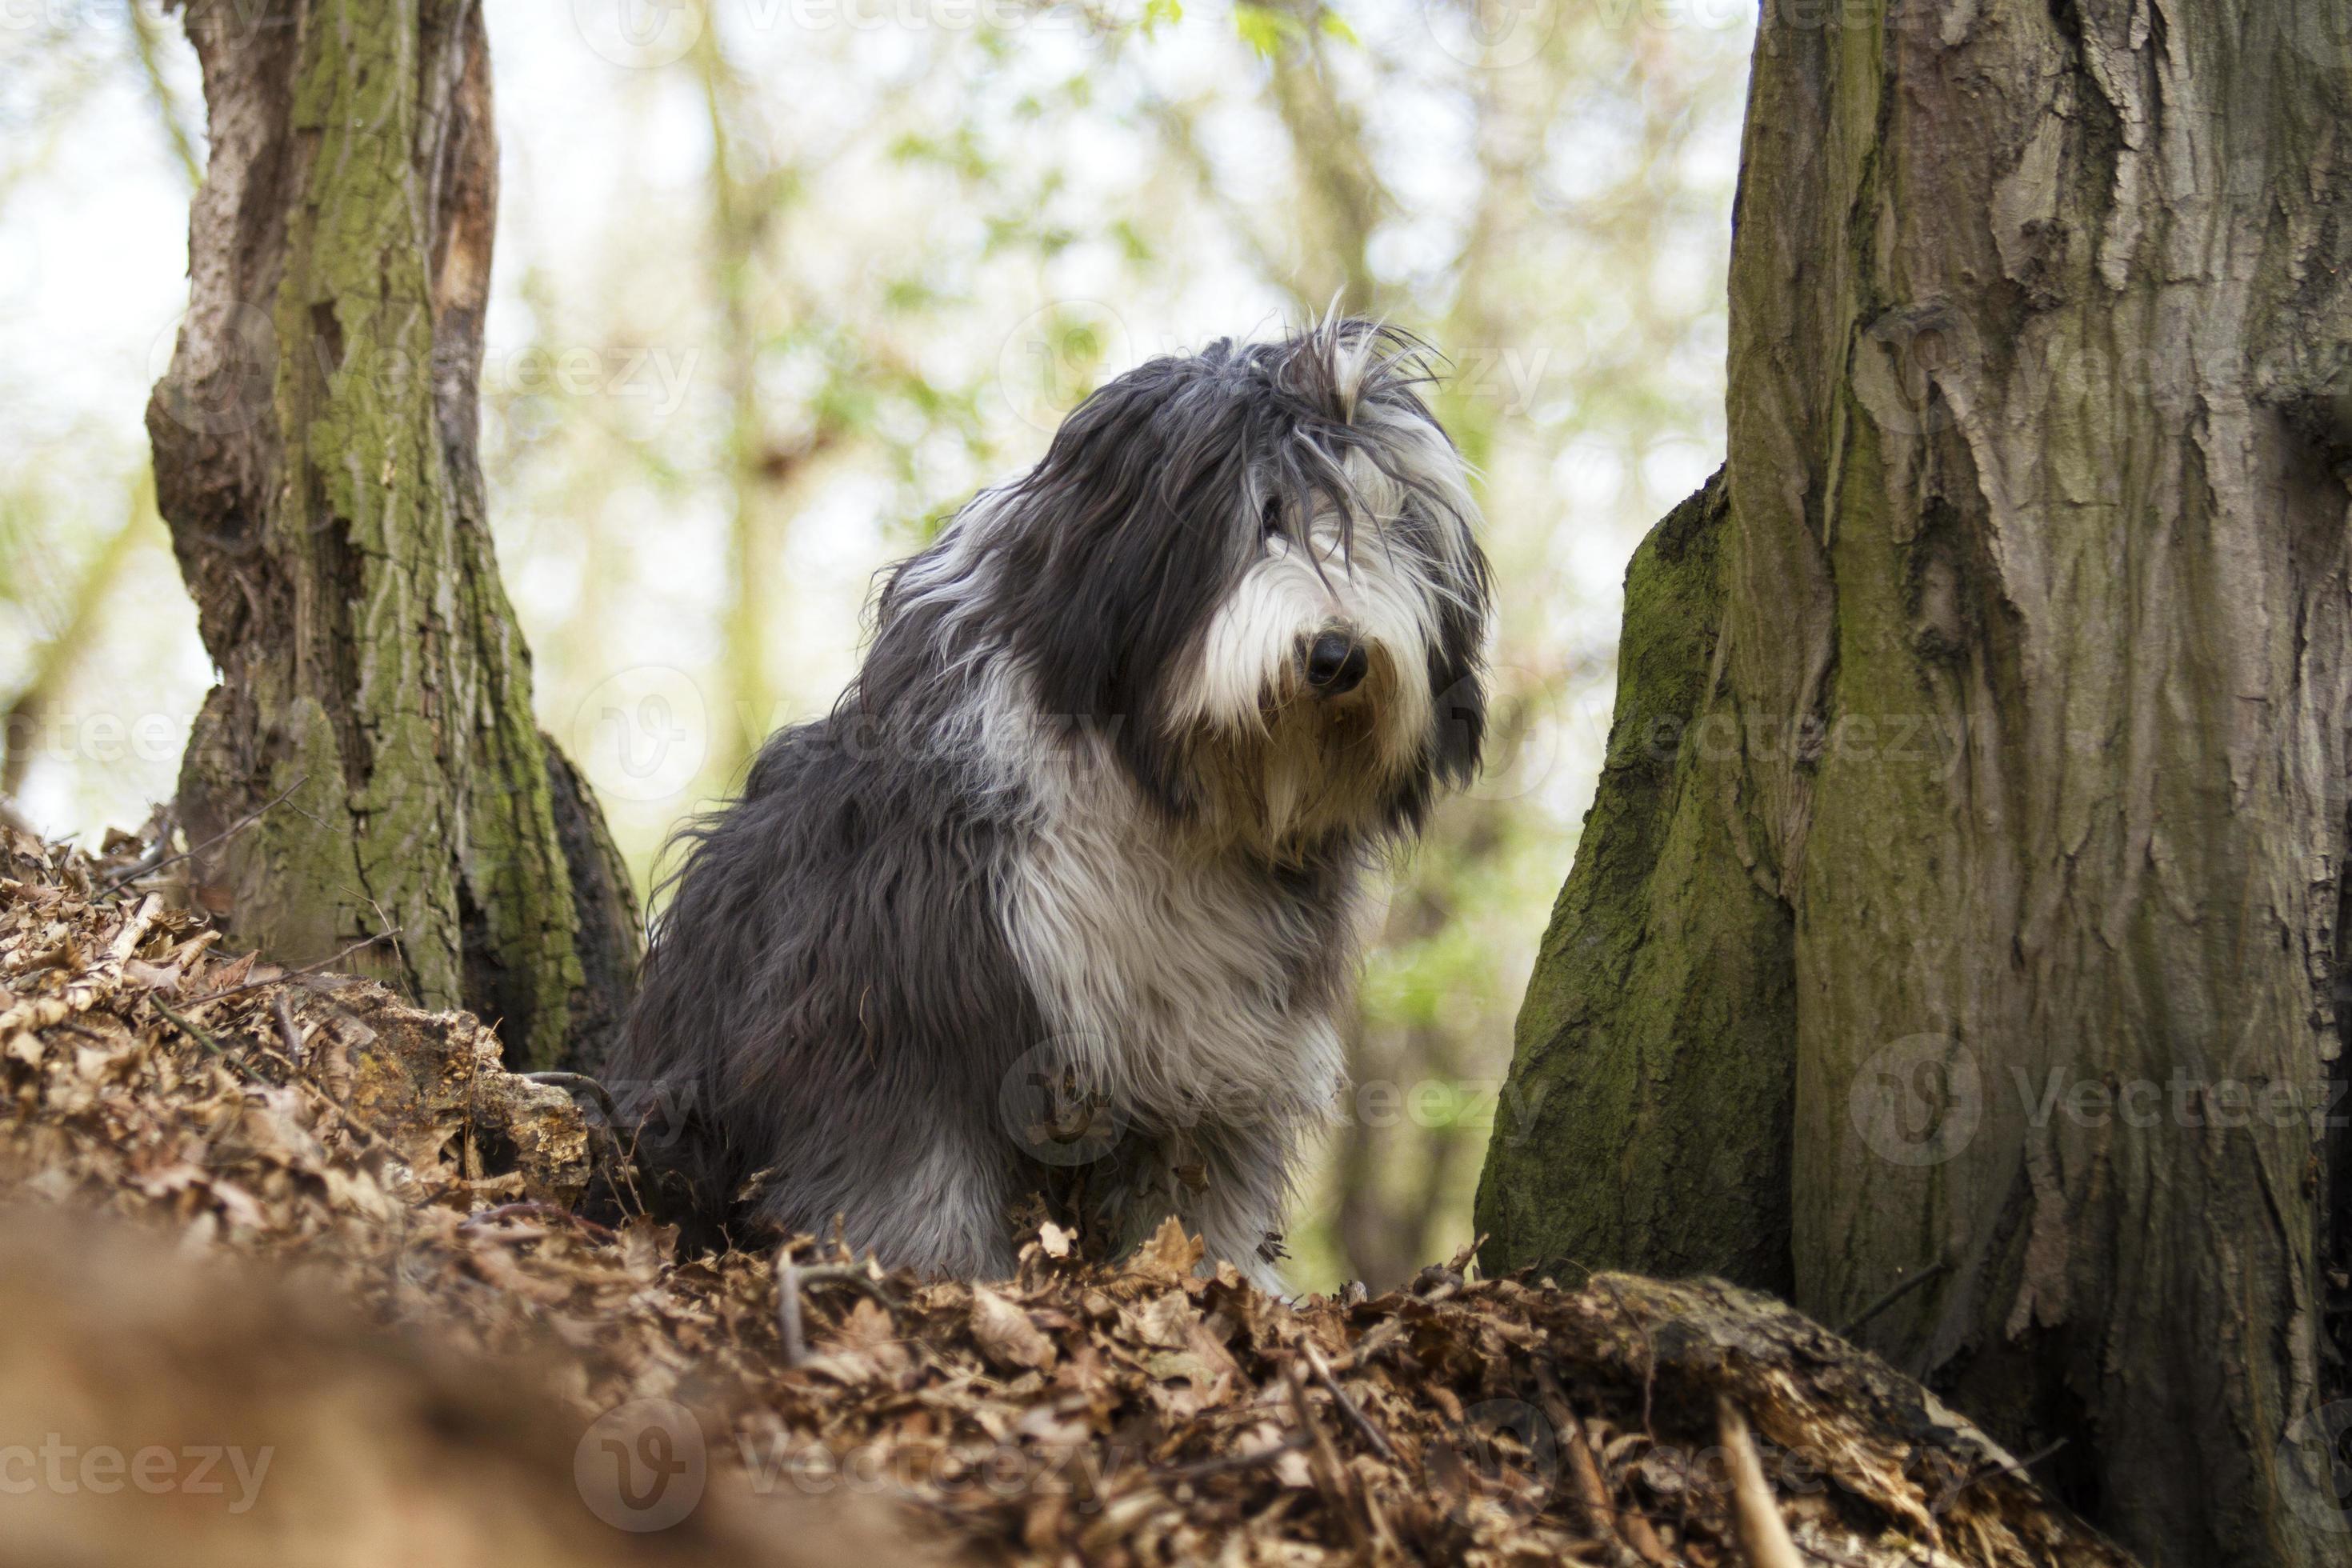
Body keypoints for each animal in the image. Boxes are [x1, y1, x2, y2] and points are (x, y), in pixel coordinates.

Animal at [606, 314, 1486, 1288]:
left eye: (1389, 528)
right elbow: (910, 1164)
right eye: (1265, 514)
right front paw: (929, 1273)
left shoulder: (1223, 1030)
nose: (1339, 655)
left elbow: (1200, 1185)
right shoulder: (900, 974)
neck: (1163, 794)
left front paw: (1214, 1278)